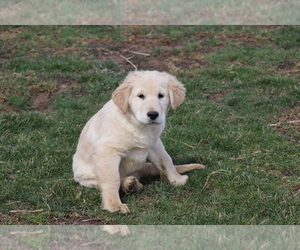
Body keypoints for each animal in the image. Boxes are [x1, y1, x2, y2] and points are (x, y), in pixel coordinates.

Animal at [72, 70, 205, 213]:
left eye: (161, 95)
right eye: (140, 96)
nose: (153, 114)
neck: (138, 125)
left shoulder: (154, 143)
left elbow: (166, 160)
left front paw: (176, 179)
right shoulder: (108, 150)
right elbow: (112, 179)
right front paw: (114, 205)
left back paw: (132, 184)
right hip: (85, 176)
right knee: (107, 181)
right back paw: (128, 185)